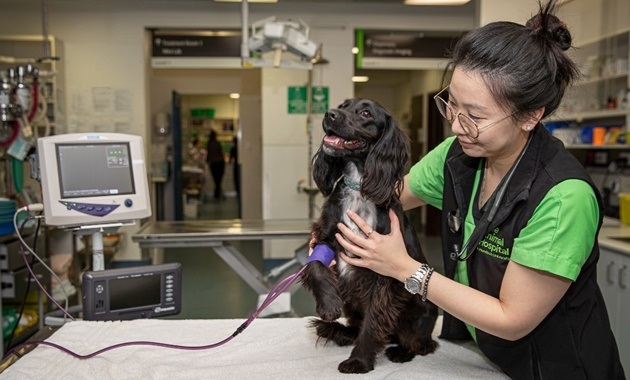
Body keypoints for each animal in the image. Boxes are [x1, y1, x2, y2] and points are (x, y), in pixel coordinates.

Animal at [302, 98, 440, 374]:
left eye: (366, 113)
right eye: (343, 105)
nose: (330, 114)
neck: (358, 187)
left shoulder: (382, 273)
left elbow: (374, 321)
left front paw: (359, 361)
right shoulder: (324, 236)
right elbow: (315, 265)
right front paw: (328, 305)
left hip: (420, 312)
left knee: (422, 344)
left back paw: (400, 351)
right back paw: (342, 332)